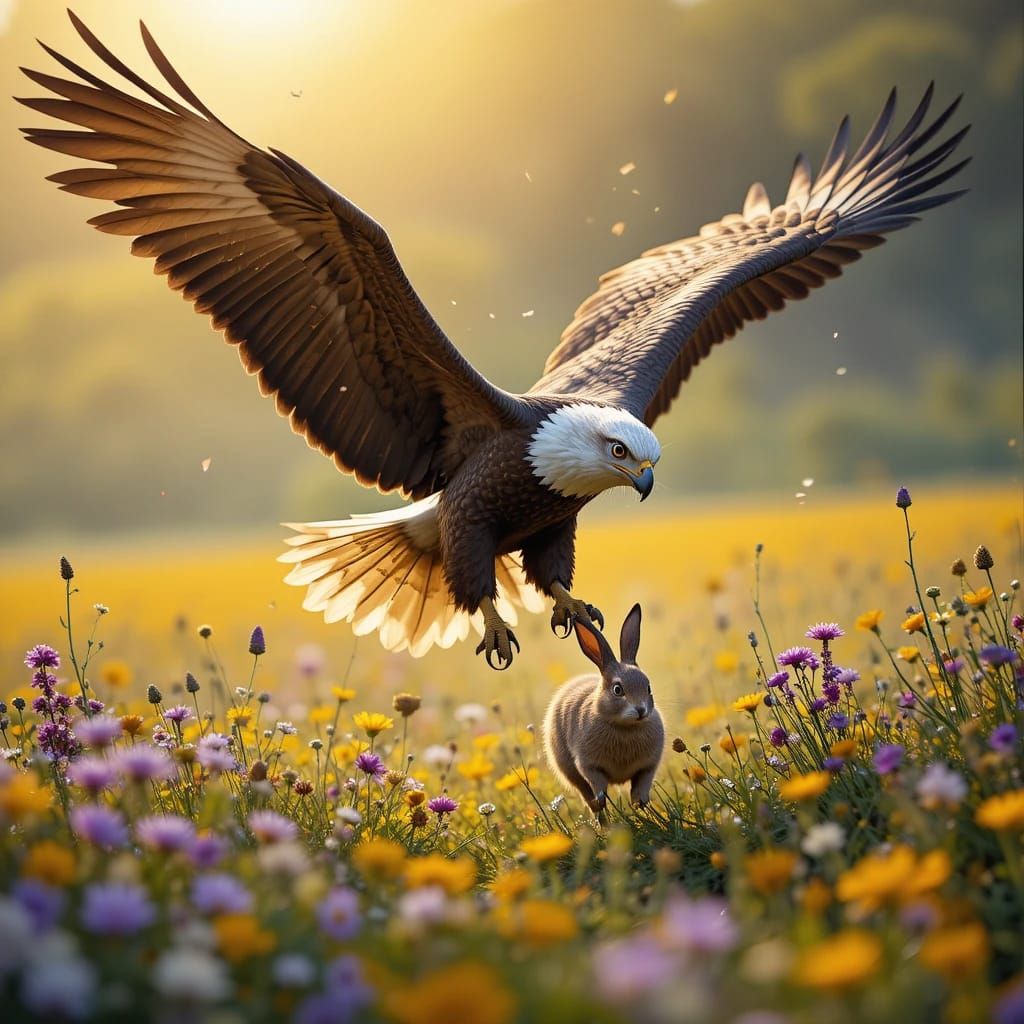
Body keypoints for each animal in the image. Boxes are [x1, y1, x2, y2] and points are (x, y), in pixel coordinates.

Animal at [542, 604, 664, 817]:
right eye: (617, 690)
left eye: (648, 687)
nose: (641, 710)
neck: (625, 727)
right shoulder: (589, 766)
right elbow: (598, 786)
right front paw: (602, 802)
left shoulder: (648, 767)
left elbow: (641, 790)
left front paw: (644, 810)